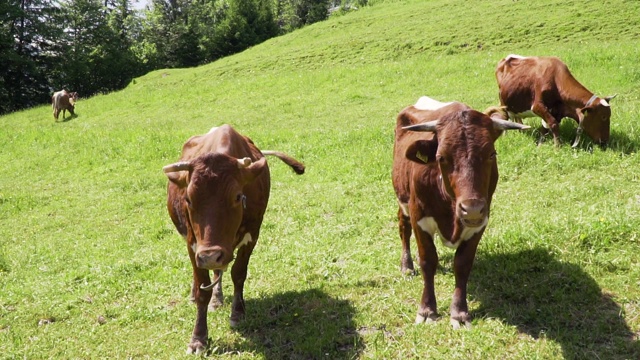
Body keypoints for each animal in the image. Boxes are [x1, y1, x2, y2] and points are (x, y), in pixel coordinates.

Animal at [164, 124, 306, 354]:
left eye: (238, 197)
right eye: (188, 199)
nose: (210, 255)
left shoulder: (252, 236)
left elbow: (238, 273)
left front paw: (237, 313)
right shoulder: (194, 245)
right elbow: (202, 287)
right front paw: (198, 338)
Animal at [392, 95, 528, 330]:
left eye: (491, 154)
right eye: (441, 157)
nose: (471, 209)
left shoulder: (481, 222)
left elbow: (462, 264)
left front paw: (459, 313)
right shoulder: (419, 219)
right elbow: (428, 261)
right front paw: (427, 310)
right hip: (403, 202)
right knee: (403, 228)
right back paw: (406, 266)